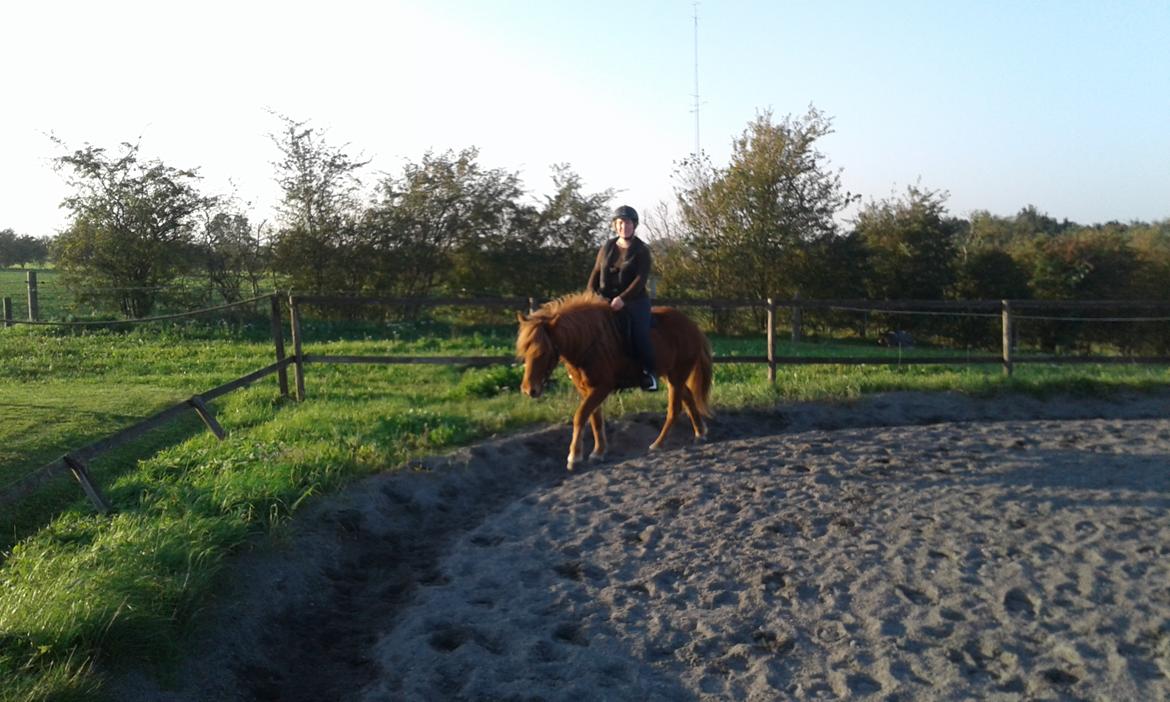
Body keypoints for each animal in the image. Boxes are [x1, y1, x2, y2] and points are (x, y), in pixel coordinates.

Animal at [519, 290, 711, 472]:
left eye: (543, 352)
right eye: (524, 351)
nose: (529, 390)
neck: (588, 340)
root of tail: (693, 326)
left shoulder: (602, 387)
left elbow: (580, 415)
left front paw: (574, 457)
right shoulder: (586, 389)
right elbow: (595, 419)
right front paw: (598, 452)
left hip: (677, 375)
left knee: (674, 409)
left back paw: (658, 443)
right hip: (670, 375)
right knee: (688, 397)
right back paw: (700, 433)